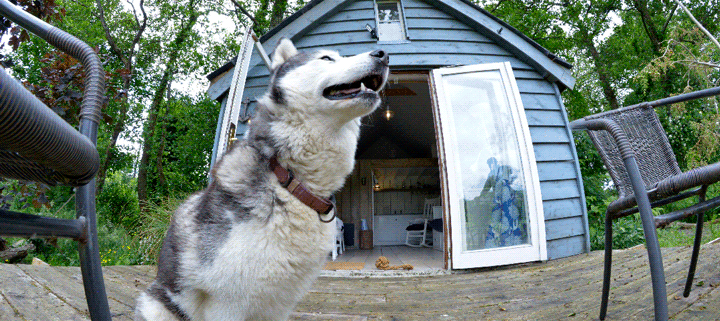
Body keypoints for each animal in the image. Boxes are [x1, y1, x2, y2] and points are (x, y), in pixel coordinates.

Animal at [137, 38, 390, 320]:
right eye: (326, 58)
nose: (383, 54)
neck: (289, 180)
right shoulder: (226, 303)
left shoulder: (279, 303)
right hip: (156, 305)